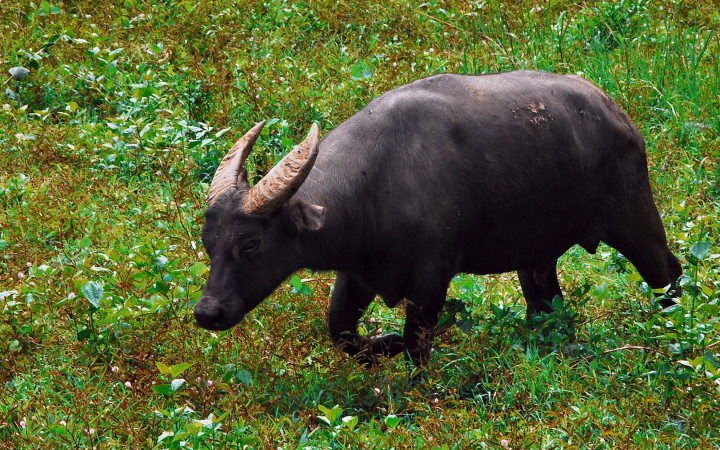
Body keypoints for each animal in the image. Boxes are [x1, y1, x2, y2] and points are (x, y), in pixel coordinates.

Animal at [195, 71, 680, 366]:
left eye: (251, 243)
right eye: (208, 242)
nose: (207, 313)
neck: (379, 180)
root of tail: (619, 117)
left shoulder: (432, 278)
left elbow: (415, 344)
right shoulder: (357, 274)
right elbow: (342, 333)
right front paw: (381, 343)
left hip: (634, 219)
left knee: (668, 271)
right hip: (536, 255)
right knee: (545, 301)